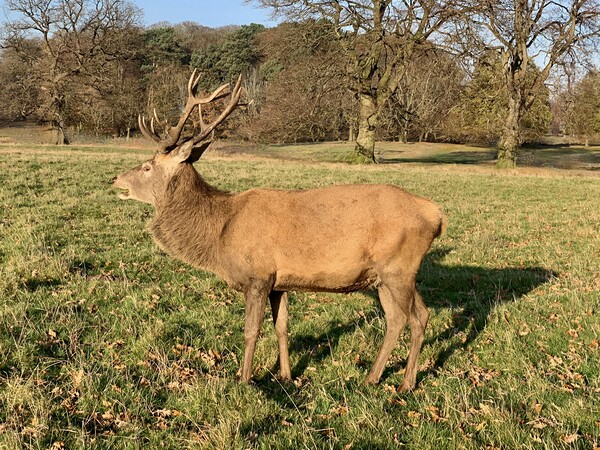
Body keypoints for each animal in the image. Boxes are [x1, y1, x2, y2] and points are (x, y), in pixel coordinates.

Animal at [113, 69, 446, 390]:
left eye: (147, 166)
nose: (114, 179)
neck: (219, 232)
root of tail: (436, 215)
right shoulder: (279, 281)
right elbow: (282, 327)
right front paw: (285, 375)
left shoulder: (257, 275)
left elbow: (251, 330)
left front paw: (243, 379)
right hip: (383, 276)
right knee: (398, 319)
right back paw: (371, 378)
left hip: (398, 267)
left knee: (417, 317)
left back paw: (405, 384)